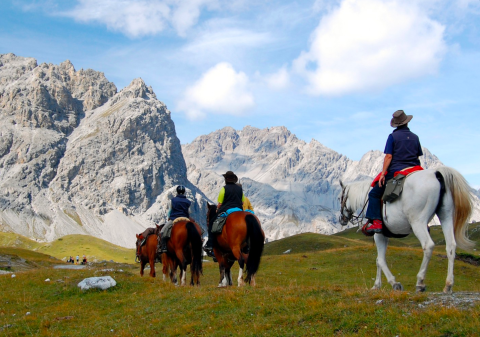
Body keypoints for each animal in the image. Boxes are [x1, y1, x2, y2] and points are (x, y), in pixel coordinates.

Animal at [340, 167, 474, 292]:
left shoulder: (379, 235)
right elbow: (378, 260)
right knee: (451, 246)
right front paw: (376, 285)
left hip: (418, 222)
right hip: (446, 216)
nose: (342, 219)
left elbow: (380, 260)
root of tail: (436, 174)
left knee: (428, 245)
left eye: (339, 198)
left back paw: (420, 282)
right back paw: (448, 285)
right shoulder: (385, 235)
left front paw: (394, 283)